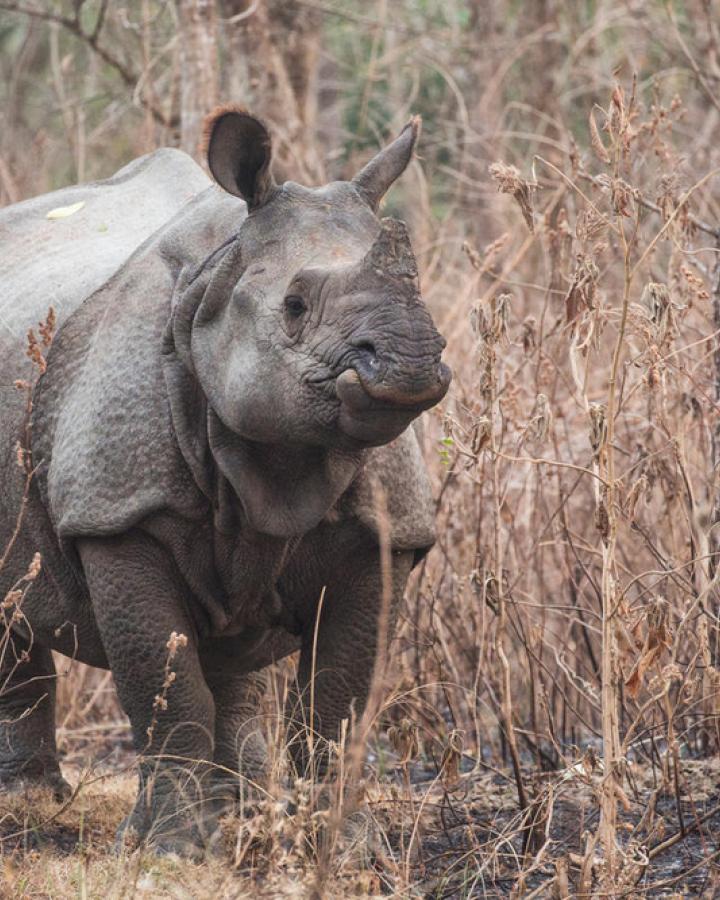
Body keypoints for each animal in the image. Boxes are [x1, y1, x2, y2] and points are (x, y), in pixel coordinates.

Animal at [0, 107, 450, 855]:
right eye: (293, 305)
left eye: (423, 292)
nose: (409, 362)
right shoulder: (117, 511)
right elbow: (165, 682)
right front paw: (170, 850)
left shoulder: (383, 529)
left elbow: (340, 695)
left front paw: (344, 847)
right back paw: (33, 804)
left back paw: (240, 808)